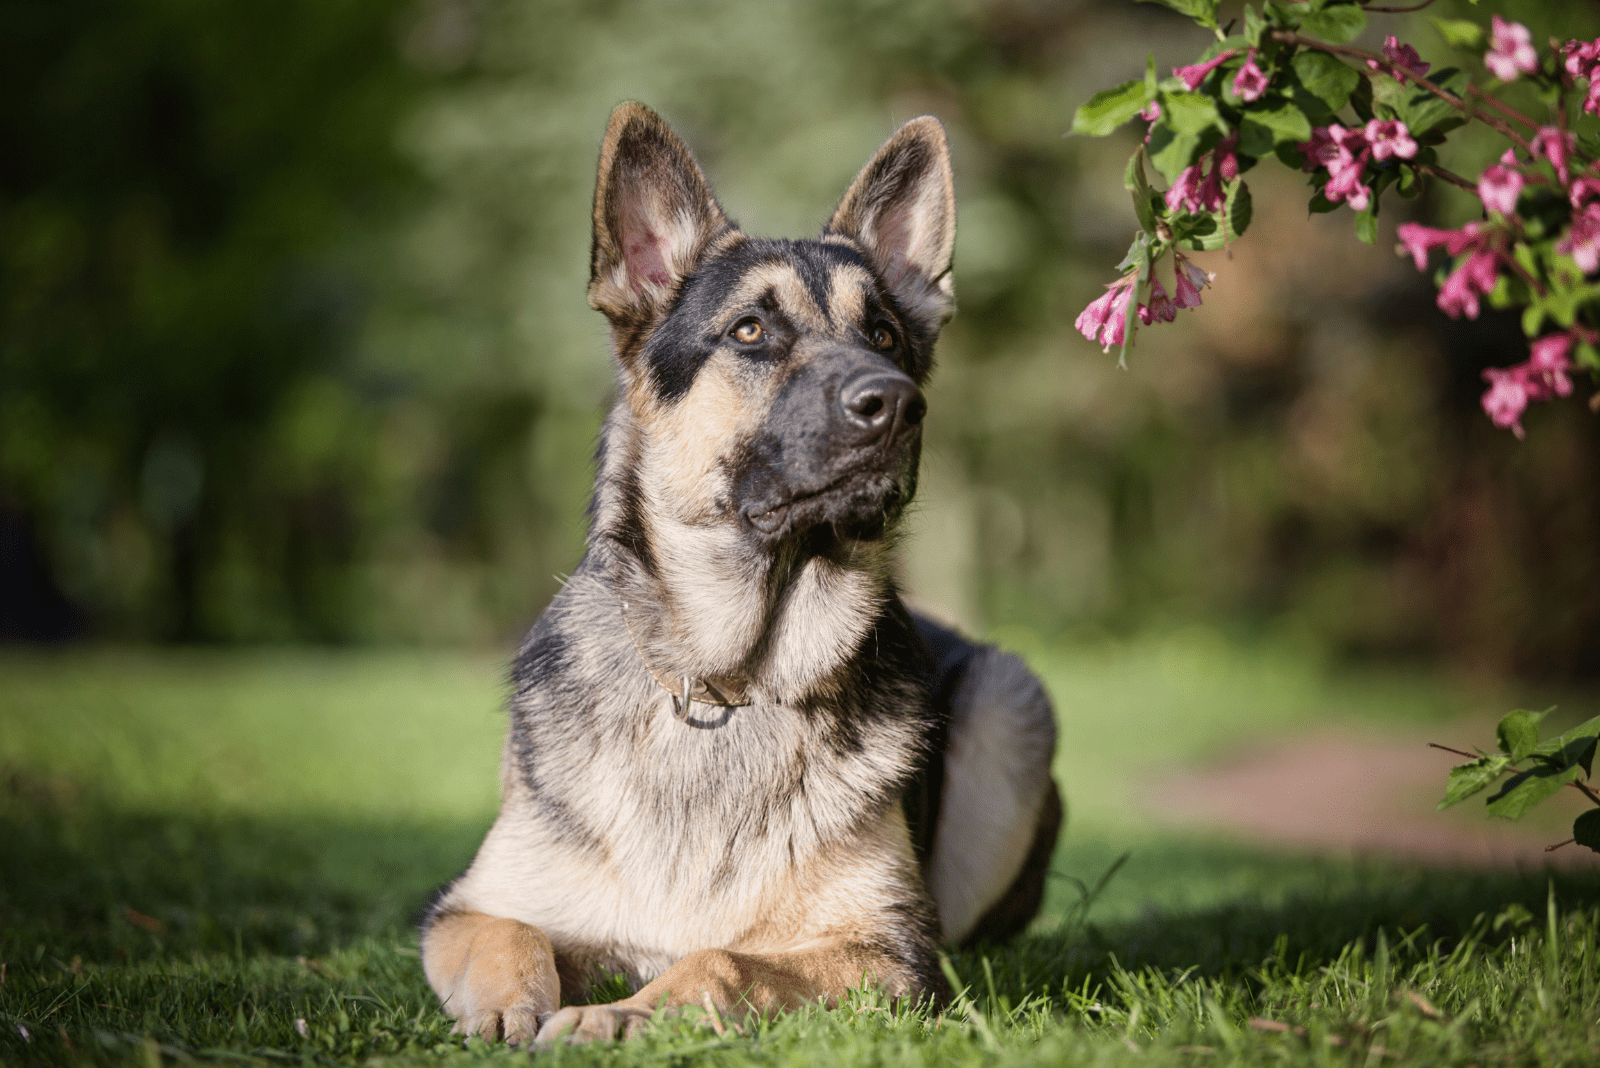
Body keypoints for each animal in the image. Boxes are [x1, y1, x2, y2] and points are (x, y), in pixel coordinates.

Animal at [419, 102, 1056, 1042]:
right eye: (752, 331)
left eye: (885, 335)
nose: (898, 404)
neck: (728, 683)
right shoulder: (467, 909)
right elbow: (514, 938)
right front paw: (506, 1013)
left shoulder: (890, 959)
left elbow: (720, 961)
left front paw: (619, 1016)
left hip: (1012, 703)